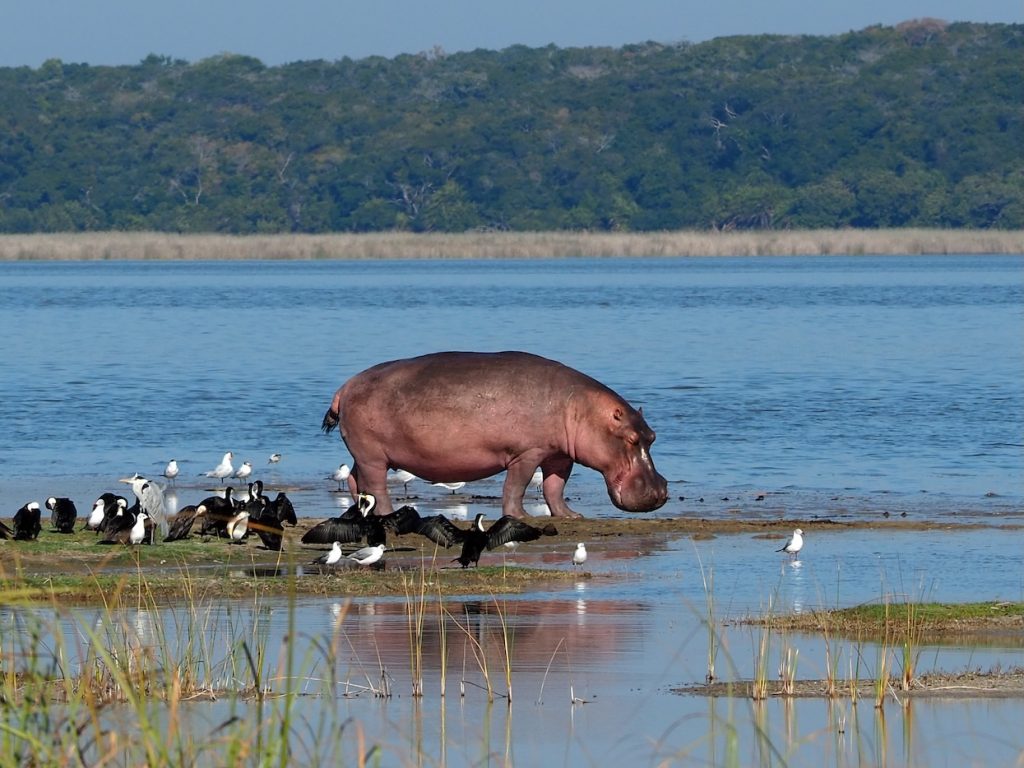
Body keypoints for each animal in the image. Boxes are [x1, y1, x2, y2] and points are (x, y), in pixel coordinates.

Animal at [321, 351, 669, 518]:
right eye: (632, 439)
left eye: (652, 436)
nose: (660, 492)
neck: (583, 409)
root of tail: (345, 387)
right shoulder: (527, 454)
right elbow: (517, 486)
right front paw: (521, 516)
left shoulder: (559, 455)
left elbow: (555, 488)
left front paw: (572, 516)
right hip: (373, 455)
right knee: (376, 486)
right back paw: (385, 513)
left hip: (363, 454)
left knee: (354, 480)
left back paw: (360, 511)